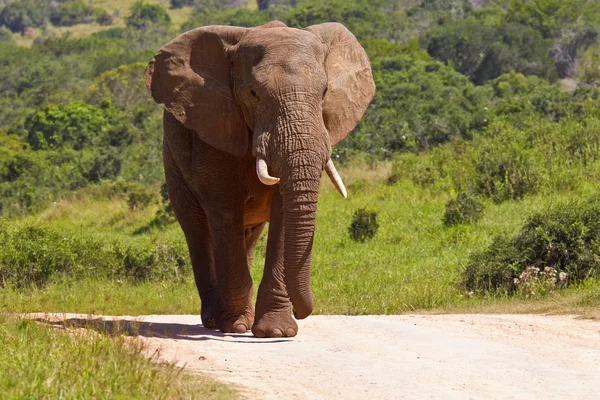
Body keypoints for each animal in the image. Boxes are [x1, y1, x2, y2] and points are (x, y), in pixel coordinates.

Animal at [144, 20, 376, 336]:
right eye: (253, 94)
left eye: (325, 92)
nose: (304, 312)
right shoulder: (216, 124)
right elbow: (225, 209)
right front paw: (235, 326)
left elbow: (282, 214)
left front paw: (276, 332)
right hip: (172, 160)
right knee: (197, 228)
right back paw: (215, 320)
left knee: (249, 234)